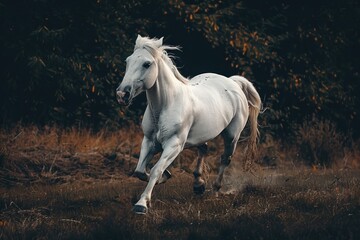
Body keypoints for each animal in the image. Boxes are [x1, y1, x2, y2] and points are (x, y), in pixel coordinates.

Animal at [116, 34, 260, 215]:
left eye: (146, 64)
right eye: (127, 61)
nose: (122, 94)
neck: (166, 104)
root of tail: (233, 82)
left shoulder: (174, 145)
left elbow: (156, 169)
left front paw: (141, 204)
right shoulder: (148, 141)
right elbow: (140, 171)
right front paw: (165, 177)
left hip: (232, 136)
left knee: (225, 159)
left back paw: (215, 190)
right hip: (201, 136)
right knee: (204, 149)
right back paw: (198, 185)